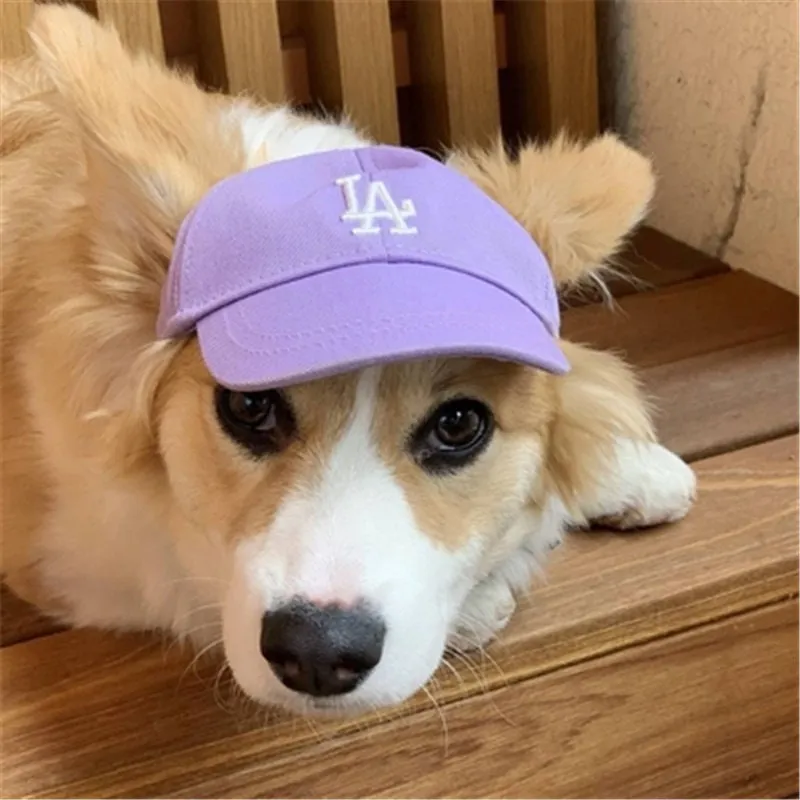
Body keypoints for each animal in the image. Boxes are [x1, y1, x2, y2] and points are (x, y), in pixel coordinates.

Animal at [1, 4, 692, 720]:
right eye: (249, 405)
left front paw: (630, 469)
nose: (316, 654)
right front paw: (486, 596)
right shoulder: (70, 552)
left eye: (458, 425)